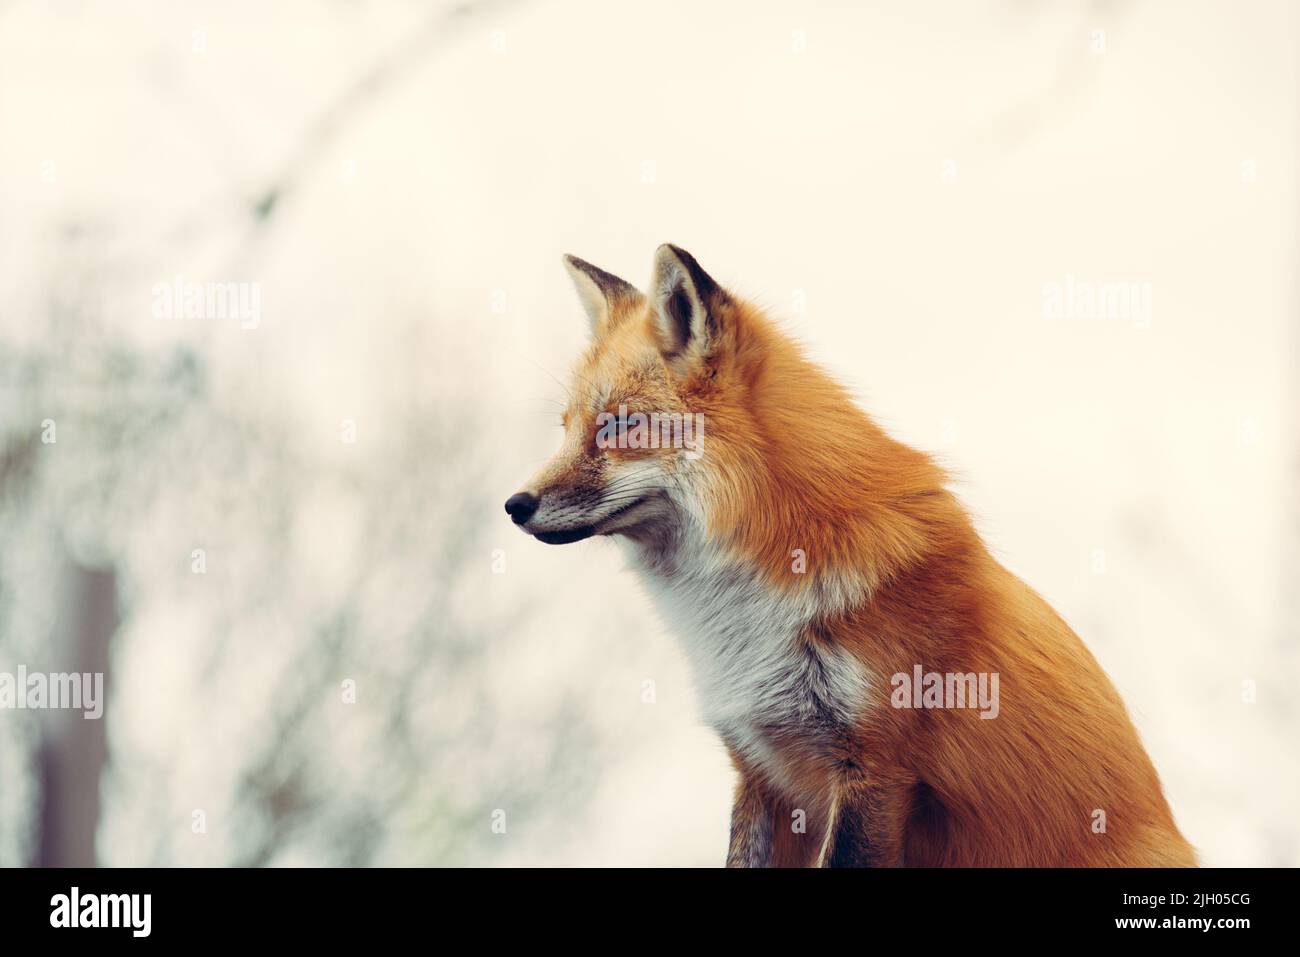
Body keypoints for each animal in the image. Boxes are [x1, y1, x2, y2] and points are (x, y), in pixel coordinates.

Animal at [506, 244, 1197, 867]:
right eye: (567, 427)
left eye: (617, 427)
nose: (515, 504)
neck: (741, 616)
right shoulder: (761, 769)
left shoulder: (875, 769)